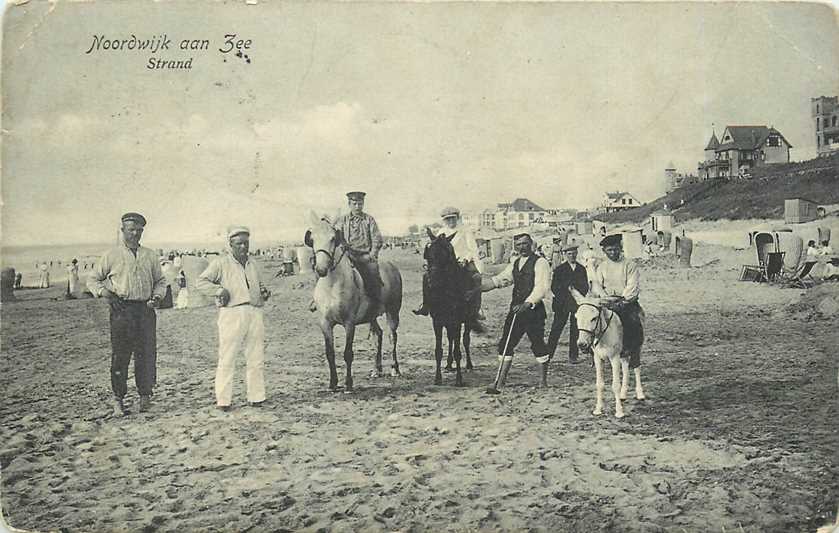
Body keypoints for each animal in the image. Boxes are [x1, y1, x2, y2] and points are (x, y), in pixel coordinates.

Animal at [424, 227, 476, 384]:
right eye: (428, 256)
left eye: (446, 256)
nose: (432, 282)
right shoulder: (437, 321)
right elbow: (438, 350)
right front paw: (437, 378)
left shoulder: (457, 321)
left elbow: (458, 350)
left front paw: (459, 379)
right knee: (451, 339)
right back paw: (448, 364)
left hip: (468, 319)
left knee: (465, 340)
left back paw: (469, 365)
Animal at [576, 288, 648, 418]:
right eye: (576, 317)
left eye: (594, 318)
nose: (582, 344)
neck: (604, 334)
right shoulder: (598, 358)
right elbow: (600, 384)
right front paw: (598, 409)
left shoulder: (614, 358)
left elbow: (615, 385)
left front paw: (619, 412)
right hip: (623, 353)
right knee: (625, 367)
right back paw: (623, 394)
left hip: (637, 347)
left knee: (636, 368)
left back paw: (640, 394)